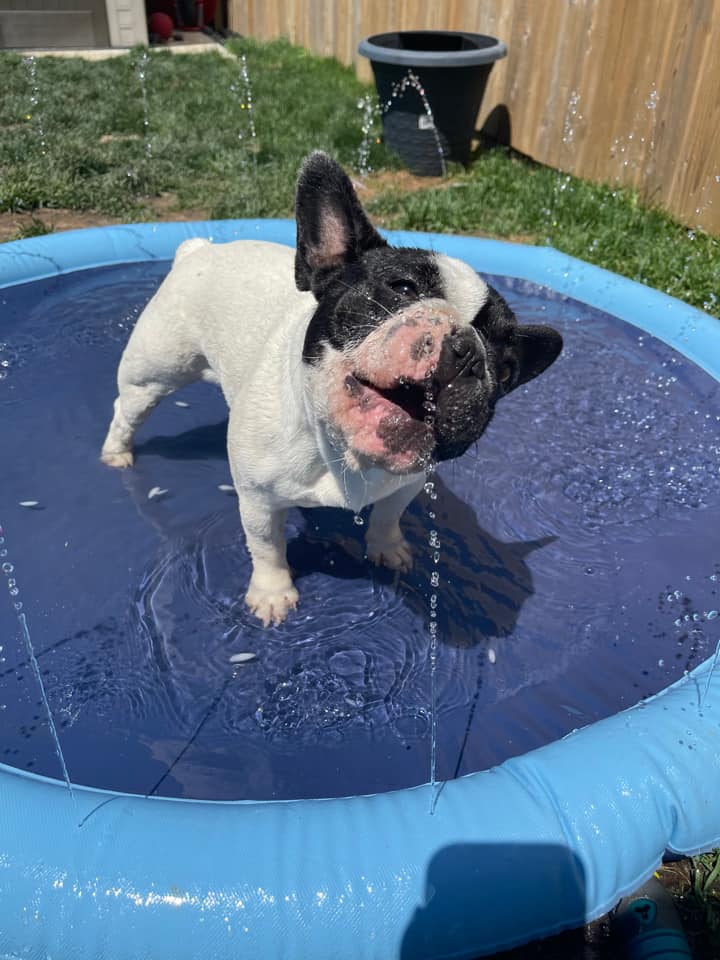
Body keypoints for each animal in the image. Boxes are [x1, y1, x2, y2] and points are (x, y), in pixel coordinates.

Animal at [101, 152, 564, 624]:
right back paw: (117, 452)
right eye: (402, 288)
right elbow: (266, 546)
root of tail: (201, 249)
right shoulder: (257, 499)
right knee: (128, 408)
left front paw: (387, 548)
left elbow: (388, 516)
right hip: (156, 369)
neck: (343, 451)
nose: (468, 349)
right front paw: (272, 593)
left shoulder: (408, 483)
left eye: (505, 369)